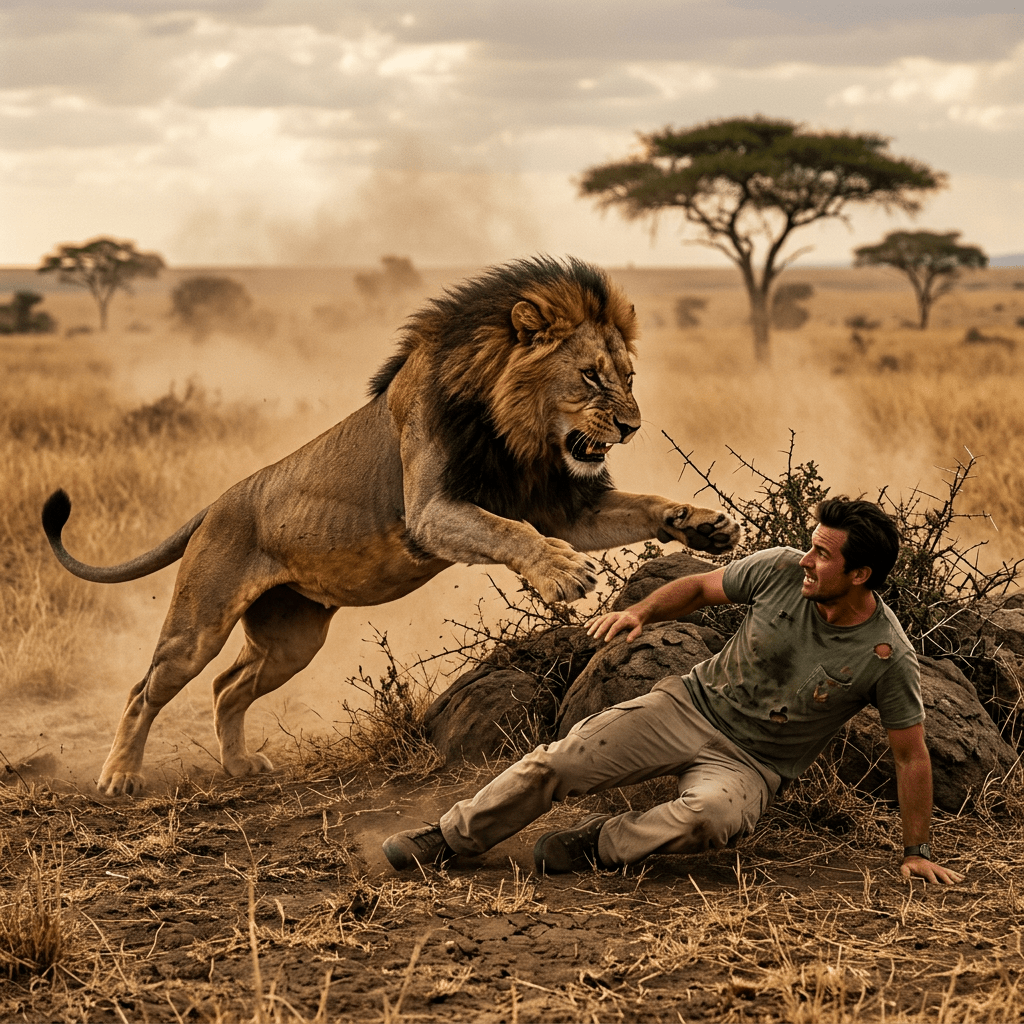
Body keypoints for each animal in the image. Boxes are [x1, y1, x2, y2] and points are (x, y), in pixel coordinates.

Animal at [43, 256, 740, 797]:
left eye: (628, 376)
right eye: (591, 375)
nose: (631, 427)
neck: (516, 433)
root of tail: (216, 503)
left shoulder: (566, 507)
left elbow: (643, 505)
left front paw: (703, 525)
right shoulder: (432, 513)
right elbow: (510, 534)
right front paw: (563, 572)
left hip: (292, 639)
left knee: (226, 686)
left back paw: (240, 766)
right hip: (199, 622)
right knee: (146, 688)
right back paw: (119, 778)